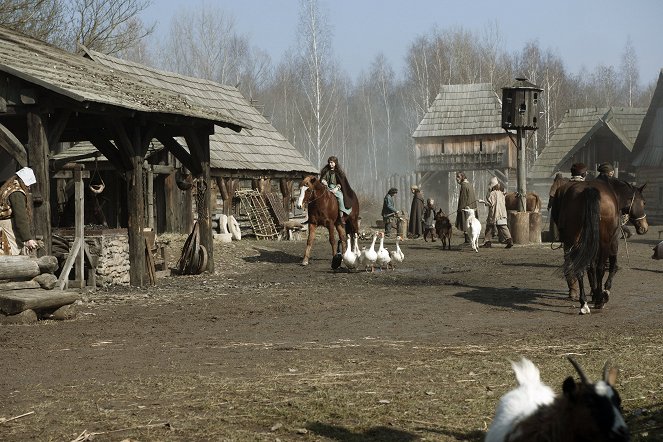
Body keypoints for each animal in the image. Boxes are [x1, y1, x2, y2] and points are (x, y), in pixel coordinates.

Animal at [548, 177, 648, 314]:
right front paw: (604, 293)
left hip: (574, 241)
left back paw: (584, 303)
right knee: (601, 268)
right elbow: (612, 267)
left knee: (580, 268)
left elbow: (591, 268)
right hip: (605, 242)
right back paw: (599, 300)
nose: (644, 228)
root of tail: (589, 190)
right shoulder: (612, 243)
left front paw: (595, 293)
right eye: (643, 202)